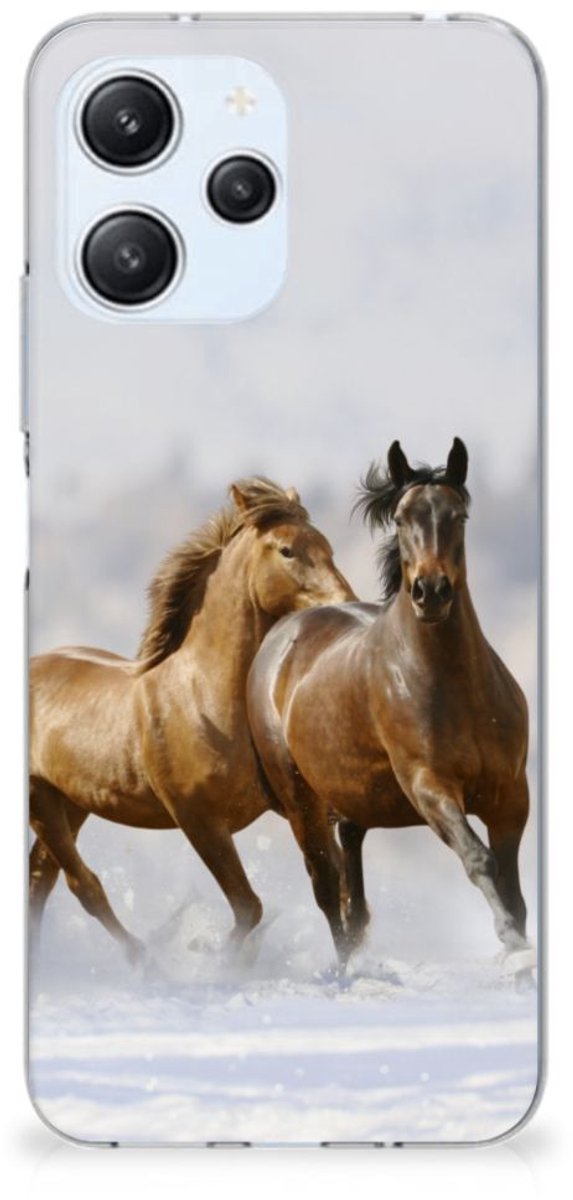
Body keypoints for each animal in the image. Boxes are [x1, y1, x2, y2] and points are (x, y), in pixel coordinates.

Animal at [29, 478, 355, 962]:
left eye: (328, 546)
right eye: (287, 550)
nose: (346, 605)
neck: (205, 698)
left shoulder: (299, 806)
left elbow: (330, 883)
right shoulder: (198, 820)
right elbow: (249, 908)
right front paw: (216, 959)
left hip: (71, 802)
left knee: (41, 878)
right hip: (42, 801)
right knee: (80, 884)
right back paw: (145, 960)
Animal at [247, 440, 531, 967]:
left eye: (459, 515)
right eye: (400, 518)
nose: (430, 592)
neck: (456, 689)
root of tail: (281, 635)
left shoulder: (511, 795)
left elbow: (512, 886)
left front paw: (521, 950)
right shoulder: (429, 787)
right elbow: (479, 859)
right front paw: (512, 943)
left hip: (351, 799)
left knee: (352, 889)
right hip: (301, 802)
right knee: (327, 889)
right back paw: (345, 970)